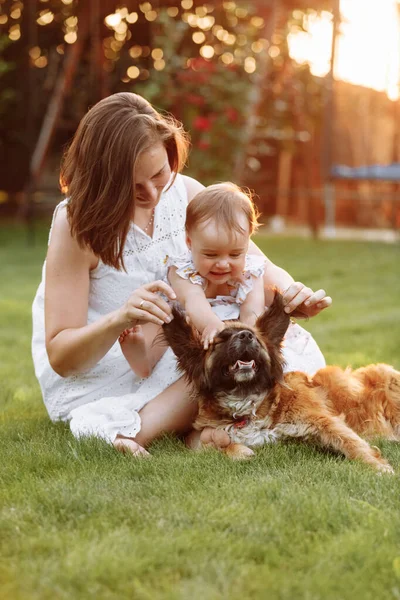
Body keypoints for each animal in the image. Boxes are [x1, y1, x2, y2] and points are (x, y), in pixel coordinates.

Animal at [163, 294, 400, 474]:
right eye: (220, 340)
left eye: (255, 338)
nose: (246, 336)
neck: (247, 402)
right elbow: (213, 447)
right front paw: (239, 452)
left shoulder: (324, 421)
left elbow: (352, 445)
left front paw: (378, 467)